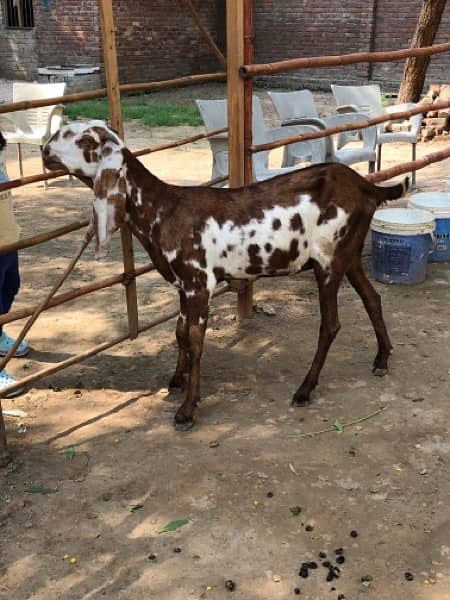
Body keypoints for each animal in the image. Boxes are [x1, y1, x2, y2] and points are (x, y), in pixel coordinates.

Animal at [44, 120, 410, 432]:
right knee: (372, 298)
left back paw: (305, 389)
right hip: (350, 255)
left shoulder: (199, 283)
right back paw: (382, 358)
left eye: (85, 141)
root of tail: (367, 187)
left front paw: (187, 410)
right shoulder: (183, 285)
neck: (164, 209)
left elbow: (195, 341)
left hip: (329, 260)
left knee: (331, 324)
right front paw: (176, 379)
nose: (45, 151)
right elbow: (179, 333)